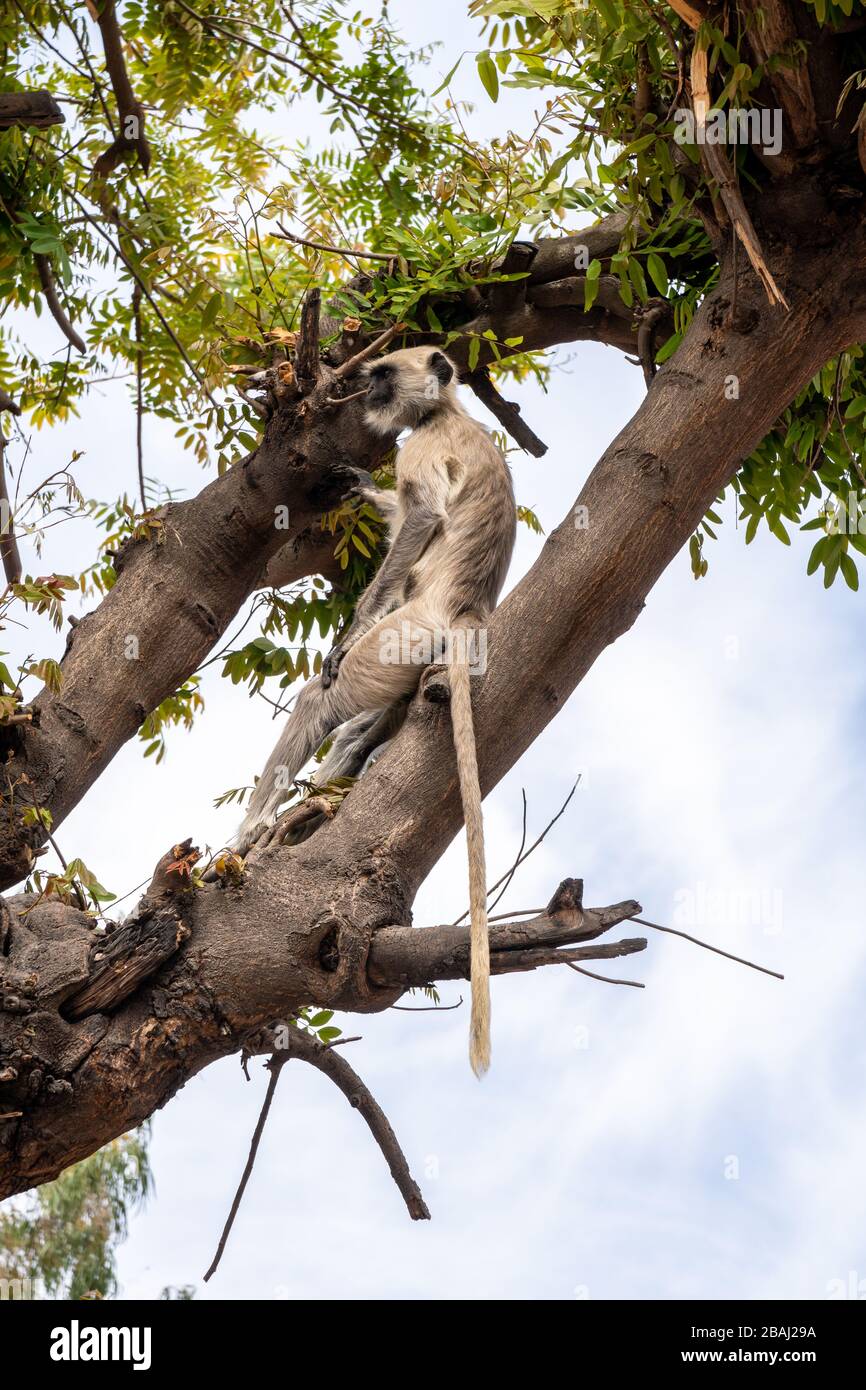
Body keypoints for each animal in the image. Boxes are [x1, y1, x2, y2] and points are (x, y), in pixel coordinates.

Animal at [234, 346, 516, 1075]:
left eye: (384, 374)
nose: (367, 393)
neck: (448, 412)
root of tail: (467, 613)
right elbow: (400, 514)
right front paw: (361, 482)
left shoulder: (424, 447)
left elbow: (420, 520)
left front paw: (343, 632)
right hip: (414, 658)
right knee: (364, 731)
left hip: (404, 636)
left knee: (324, 698)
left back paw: (248, 833)